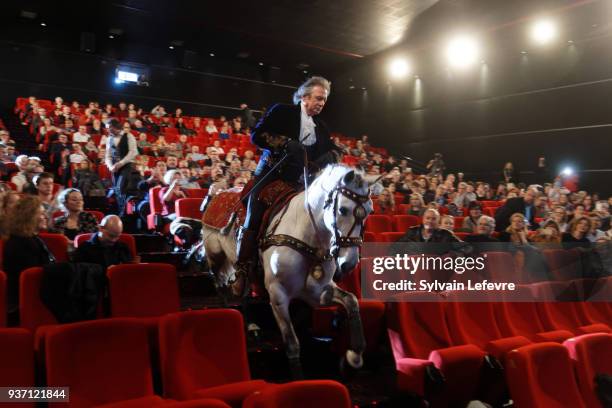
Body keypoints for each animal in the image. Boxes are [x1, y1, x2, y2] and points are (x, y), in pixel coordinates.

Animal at [201, 165, 378, 376]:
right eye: (343, 209)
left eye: (370, 210)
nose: (349, 264)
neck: (307, 235)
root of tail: (217, 194)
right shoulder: (278, 294)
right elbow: (292, 343)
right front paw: (298, 376)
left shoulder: (317, 292)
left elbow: (351, 301)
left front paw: (354, 355)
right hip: (215, 254)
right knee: (218, 282)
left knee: (243, 292)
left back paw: (251, 324)